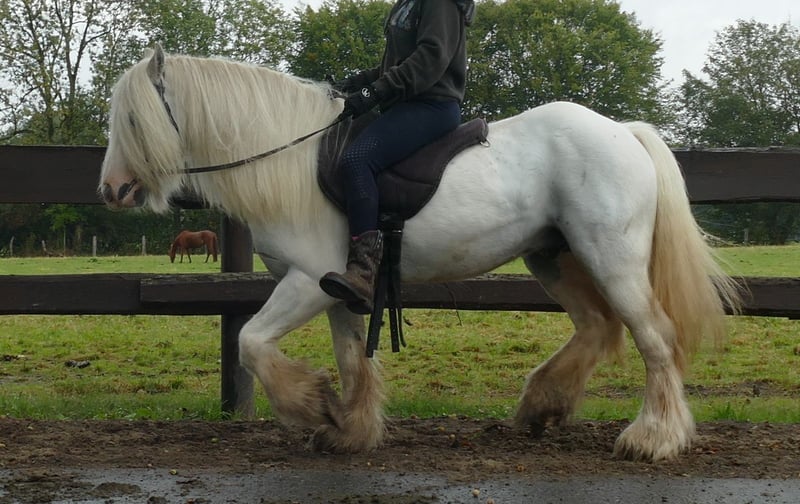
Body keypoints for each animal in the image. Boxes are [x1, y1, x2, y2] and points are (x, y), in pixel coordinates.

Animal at [98, 45, 741, 462]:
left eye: (132, 116)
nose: (111, 190)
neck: (290, 161)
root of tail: (622, 131)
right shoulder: (337, 289)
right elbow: (352, 358)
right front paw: (348, 429)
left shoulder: (305, 281)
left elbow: (252, 342)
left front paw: (311, 405)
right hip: (553, 257)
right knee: (596, 326)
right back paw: (541, 407)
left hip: (612, 257)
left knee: (654, 336)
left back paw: (652, 439)